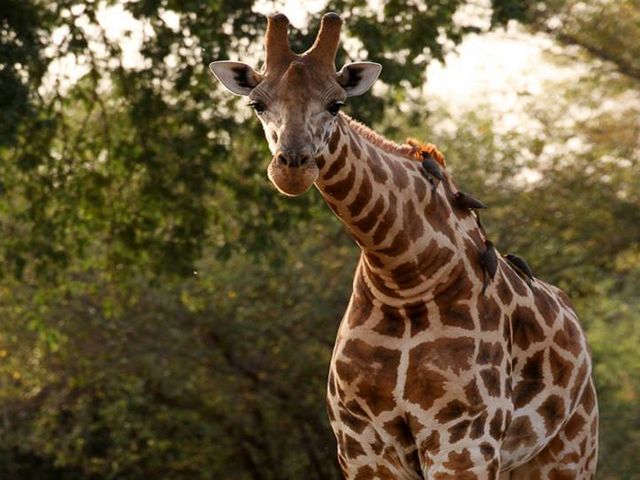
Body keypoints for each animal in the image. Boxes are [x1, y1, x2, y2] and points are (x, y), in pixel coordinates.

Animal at [209, 12, 598, 479]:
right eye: (258, 104)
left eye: (336, 104)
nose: (292, 167)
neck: (402, 274)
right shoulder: (362, 445)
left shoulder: (463, 438)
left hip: (567, 452)